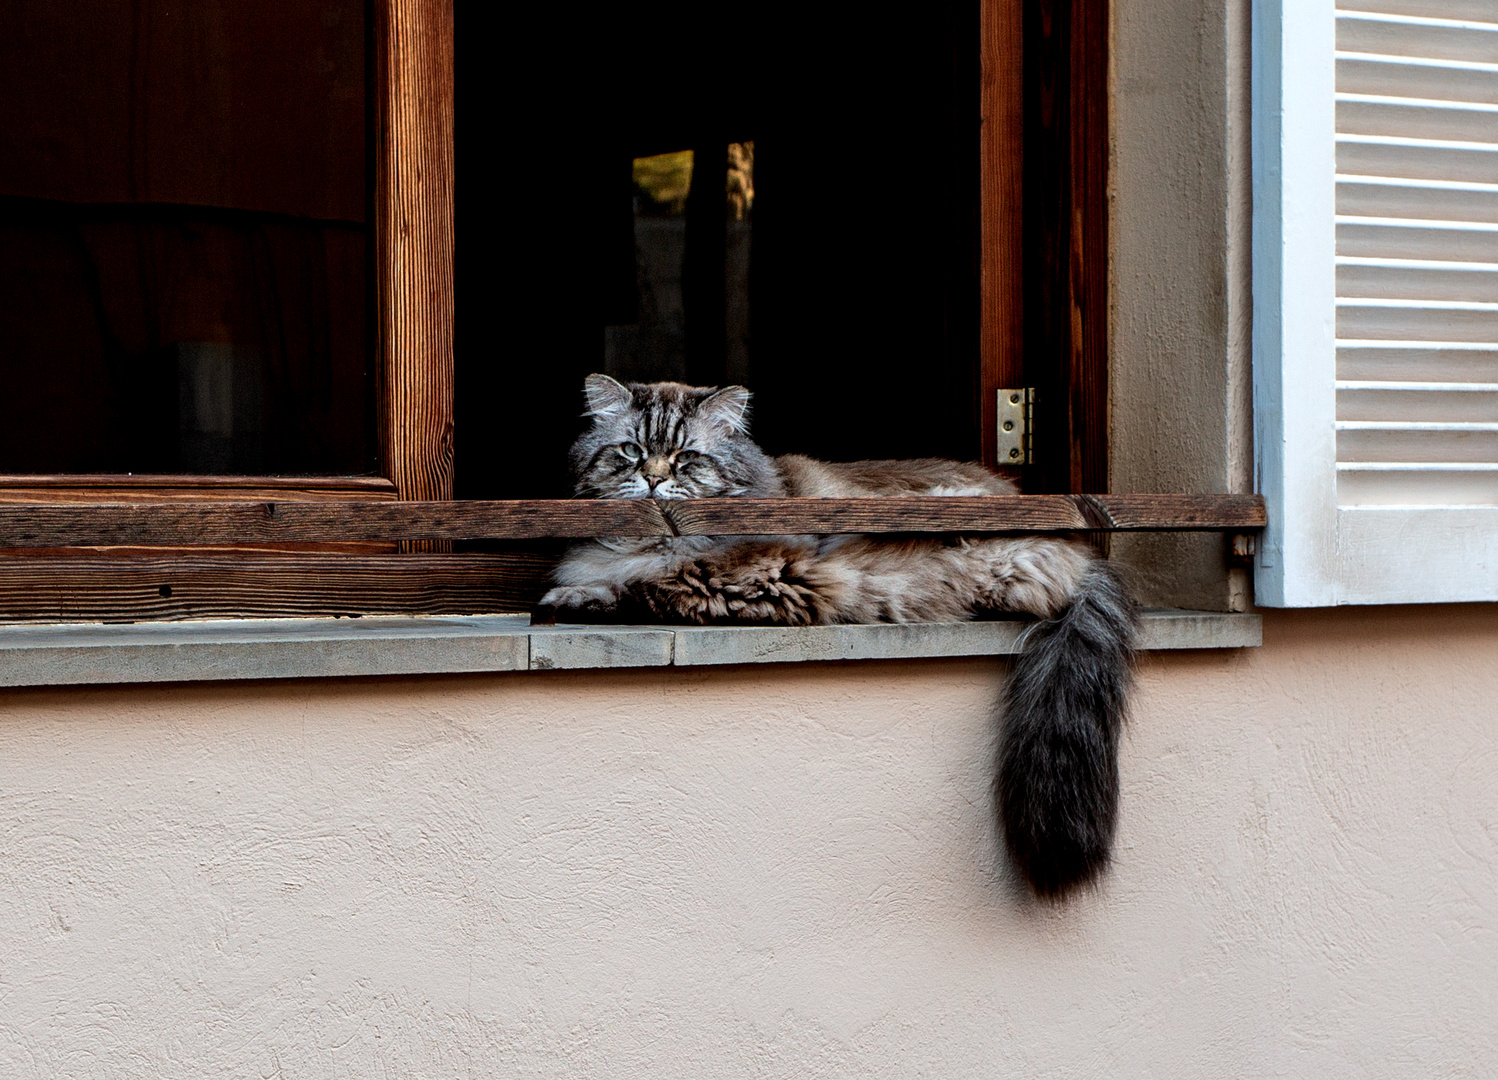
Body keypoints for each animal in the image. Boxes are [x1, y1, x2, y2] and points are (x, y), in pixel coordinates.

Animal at [539, 374, 1132, 898]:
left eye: (686, 458)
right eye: (631, 451)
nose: (655, 482)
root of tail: (1081, 549)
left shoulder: (759, 577)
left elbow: (645, 587)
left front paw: (573, 598)